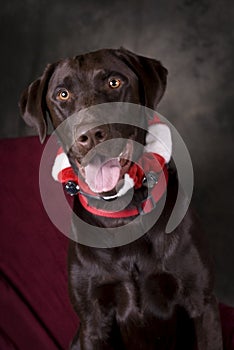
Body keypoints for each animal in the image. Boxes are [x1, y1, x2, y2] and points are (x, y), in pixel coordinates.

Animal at [19, 47, 222, 348]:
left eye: (114, 82)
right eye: (62, 94)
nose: (90, 134)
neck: (121, 216)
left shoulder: (202, 304)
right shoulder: (93, 322)